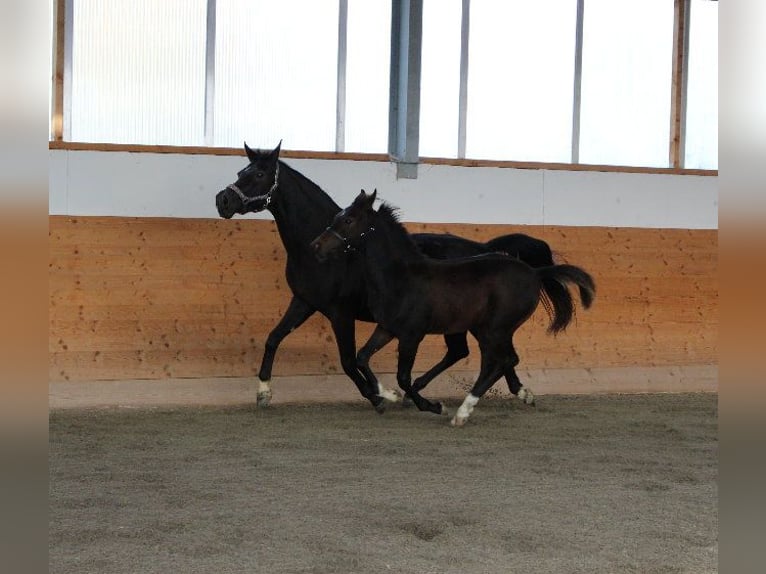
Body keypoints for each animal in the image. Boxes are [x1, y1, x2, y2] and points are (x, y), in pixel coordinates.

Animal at [216, 144, 560, 414]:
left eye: (258, 175)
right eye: (240, 171)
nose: (223, 201)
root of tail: (485, 250)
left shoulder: (340, 313)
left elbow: (347, 360)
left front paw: (380, 396)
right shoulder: (304, 302)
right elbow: (274, 338)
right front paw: (263, 393)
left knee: (482, 352)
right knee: (476, 353)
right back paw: (515, 392)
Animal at [308, 192, 596, 428]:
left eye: (349, 220)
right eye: (337, 217)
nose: (316, 246)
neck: (400, 277)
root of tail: (535, 273)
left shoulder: (412, 335)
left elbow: (403, 376)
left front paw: (433, 406)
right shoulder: (387, 328)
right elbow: (362, 358)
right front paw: (389, 395)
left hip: (495, 329)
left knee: (500, 361)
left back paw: (462, 413)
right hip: (487, 330)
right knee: (499, 361)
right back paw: (511, 396)